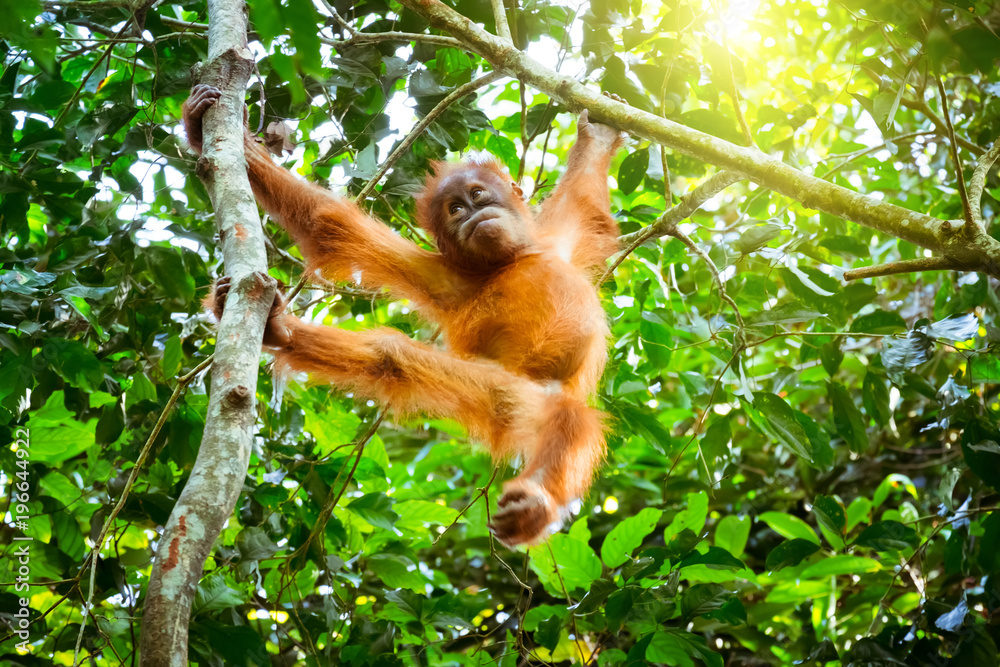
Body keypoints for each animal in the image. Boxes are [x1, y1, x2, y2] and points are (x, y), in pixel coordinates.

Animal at [183, 83, 624, 547]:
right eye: (454, 210)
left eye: (477, 195)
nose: (473, 214)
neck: (507, 261)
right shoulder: (444, 277)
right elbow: (332, 226)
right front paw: (203, 129)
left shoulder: (559, 239)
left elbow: (585, 201)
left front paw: (597, 136)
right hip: (498, 389)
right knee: (394, 357)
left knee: (565, 418)